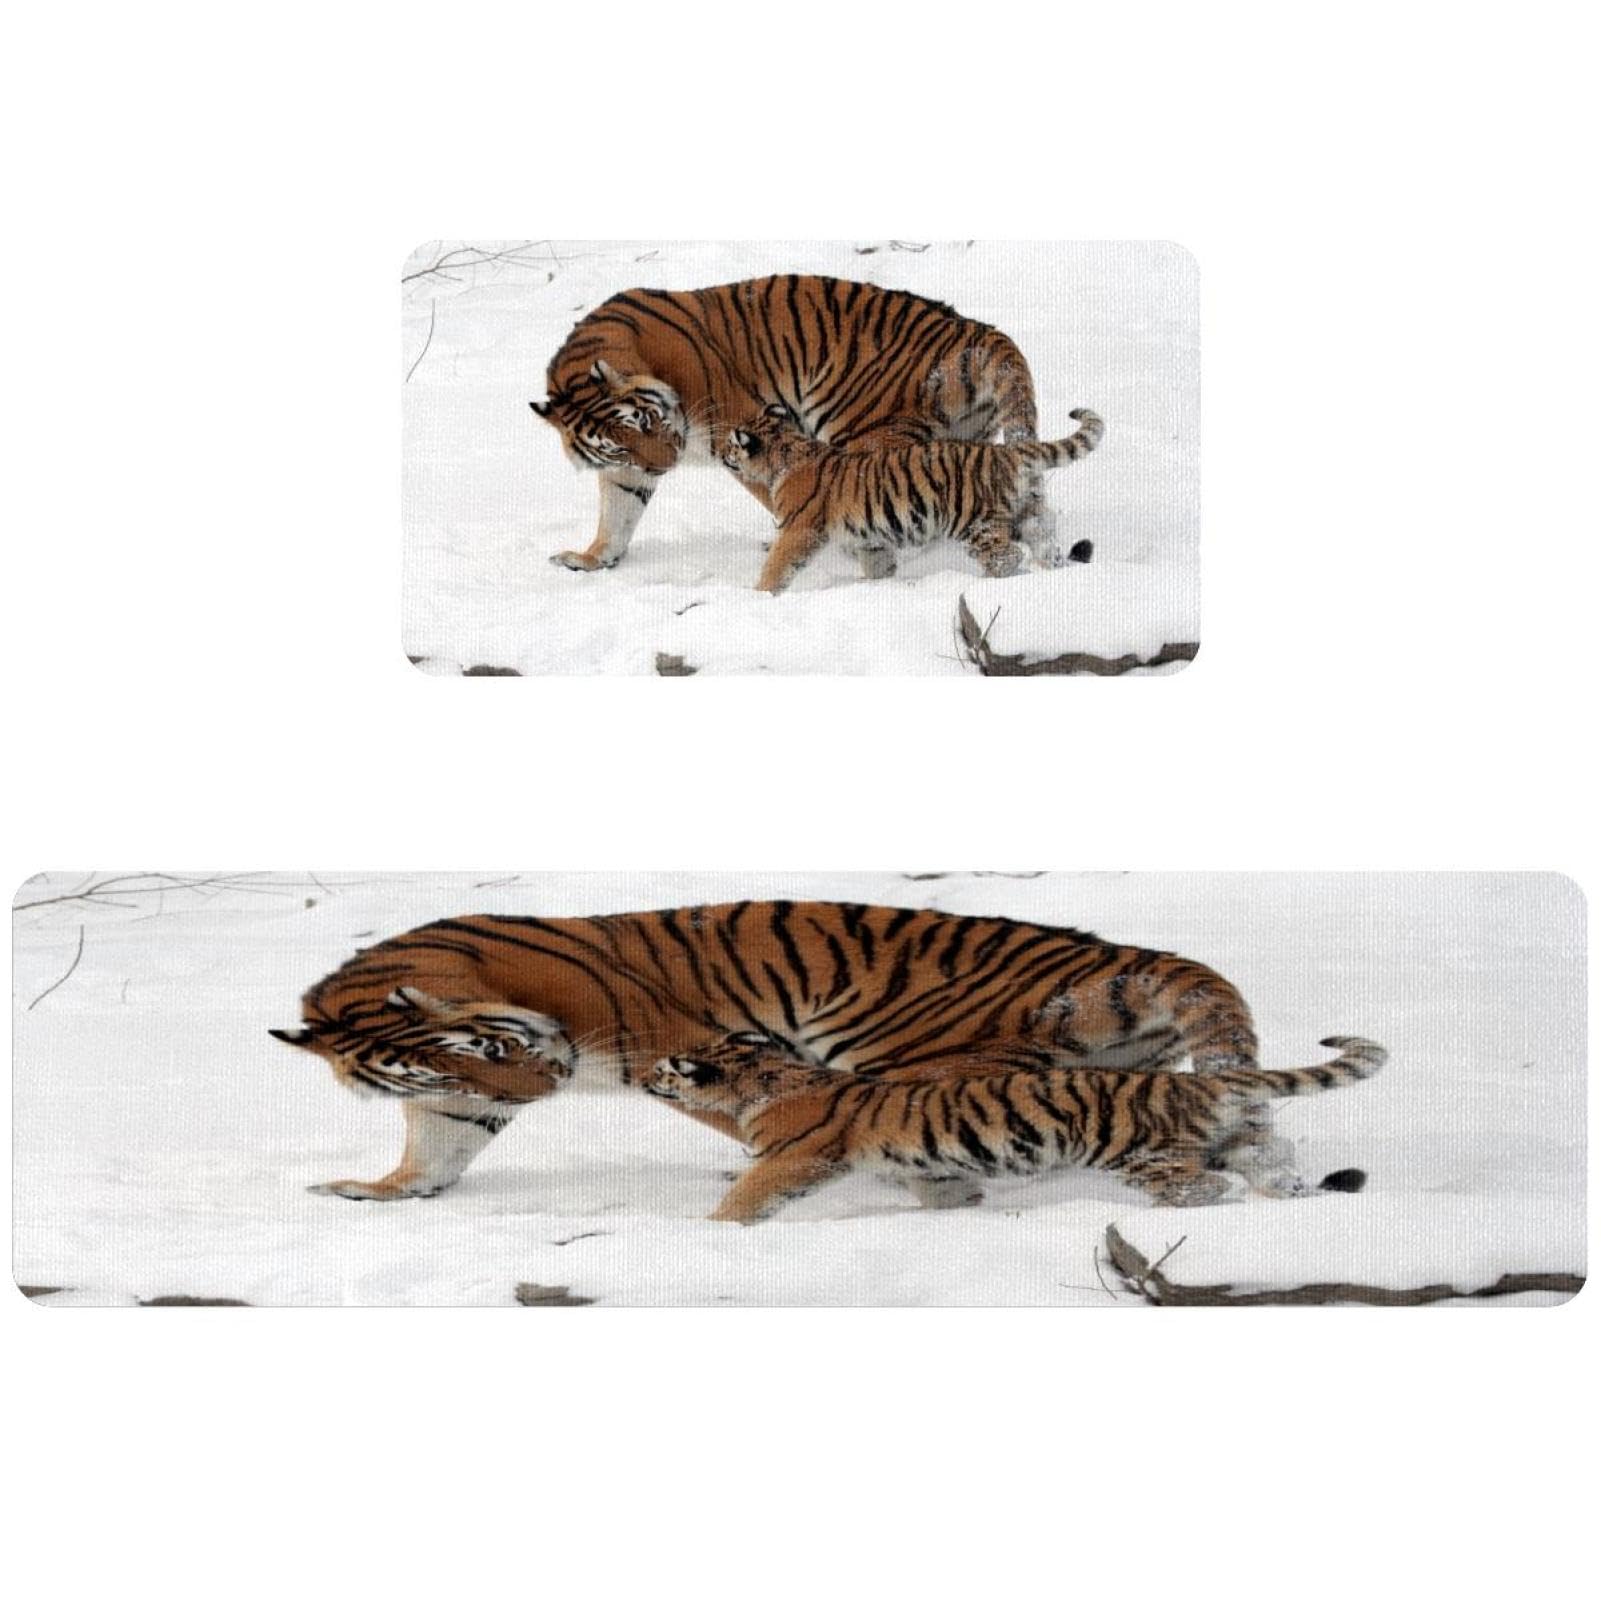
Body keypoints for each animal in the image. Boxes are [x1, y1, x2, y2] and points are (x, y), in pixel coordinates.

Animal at [270, 900, 1287, 1206]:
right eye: (439, 1065)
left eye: (485, 1041)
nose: (542, 1084)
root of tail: (1127, 956)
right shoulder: (454, 1100)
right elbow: (436, 1148)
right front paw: (380, 1191)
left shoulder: (669, 1040)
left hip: (919, 1063)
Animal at [528, 275, 1039, 574]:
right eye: (618, 445)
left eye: (647, 420)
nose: (665, 466)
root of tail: (974, 330)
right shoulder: (625, 470)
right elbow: (618, 511)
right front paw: (591, 559)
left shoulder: (739, 428)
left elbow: (779, 495)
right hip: (961, 438)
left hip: (863, 429)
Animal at [645, 1033, 1387, 1222]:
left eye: (662, 1068)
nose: (646, 1075)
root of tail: (1195, 1079)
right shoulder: (927, 1163)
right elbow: (943, 1187)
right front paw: (964, 1211)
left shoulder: (795, 1157)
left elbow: (750, 1192)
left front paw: (714, 1228)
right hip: (1232, 1134)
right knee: (1271, 1154)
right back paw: (1292, 1193)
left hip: (1141, 1153)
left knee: (1203, 1185)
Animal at [721, 405, 1104, 592]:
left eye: (730, 445)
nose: (722, 453)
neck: (785, 450)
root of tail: (1006, 452)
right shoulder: (870, 538)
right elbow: (878, 564)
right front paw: (874, 584)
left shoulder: (799, 529)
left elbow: (778, 564)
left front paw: (759, 592)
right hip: (1030, 515)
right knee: (1048, 548)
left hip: (974, 523)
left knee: (1007, 557)